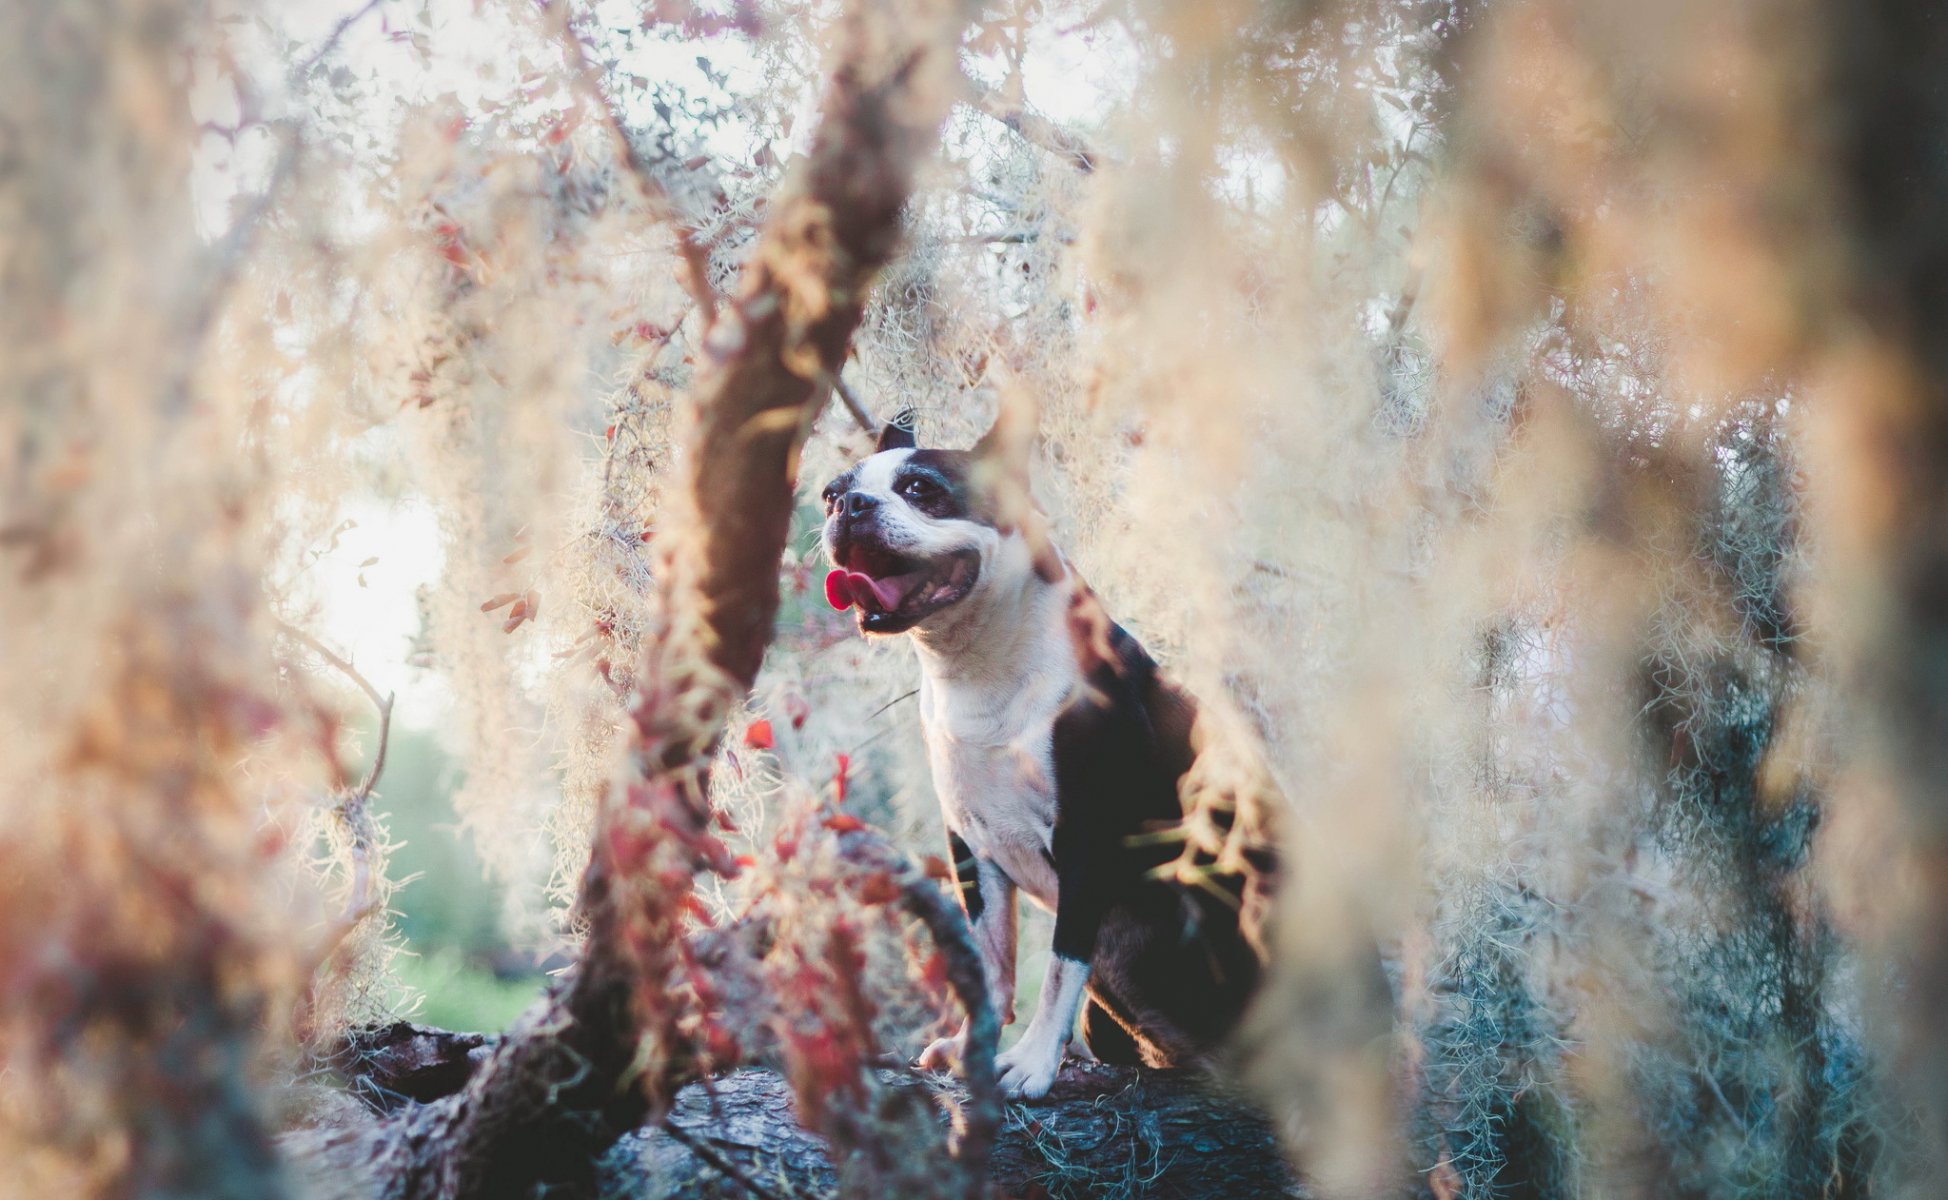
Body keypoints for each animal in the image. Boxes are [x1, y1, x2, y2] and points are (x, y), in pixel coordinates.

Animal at [814, 416, 1270, 1098]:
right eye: (830, 494)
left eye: (922, 488)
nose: (850, 506)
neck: (977, 665)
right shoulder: (972, 845)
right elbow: (989, 961)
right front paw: (971, 1045)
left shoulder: (1086, 839)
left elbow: (1060, 964)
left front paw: (1031, 1062)